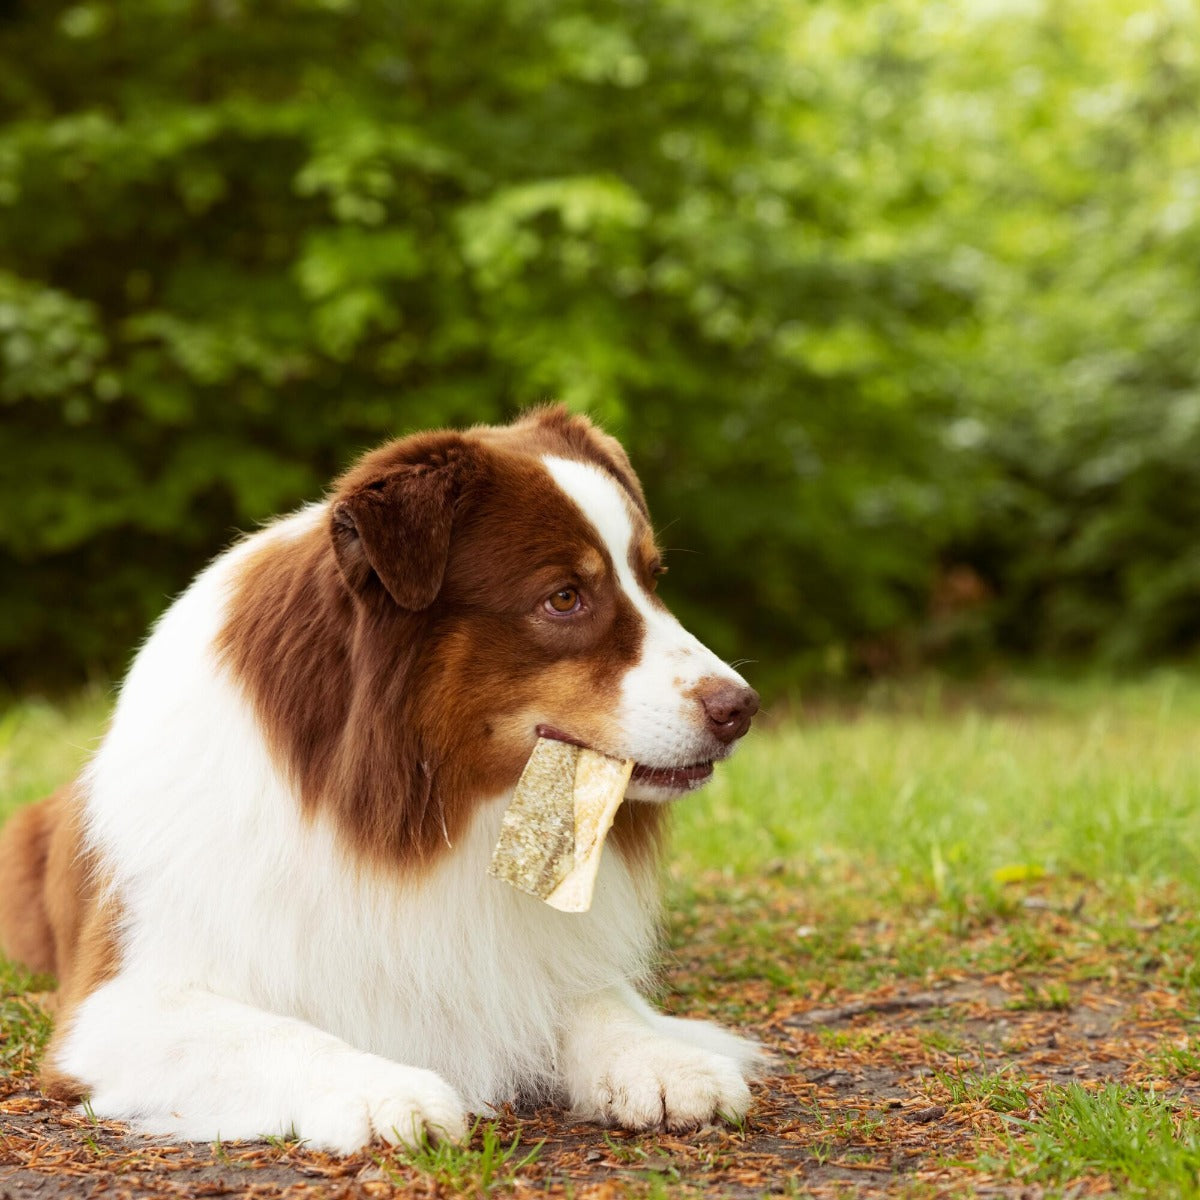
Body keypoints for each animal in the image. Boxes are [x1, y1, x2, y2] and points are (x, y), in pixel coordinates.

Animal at [0, 410, 758, 1152]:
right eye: (564, 598)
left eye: (653, 579)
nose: (741, 708)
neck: (427, 809)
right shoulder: (116, 1008)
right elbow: (280, 1033)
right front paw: (389, 1091)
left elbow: (595, 999)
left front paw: (666, 1060)